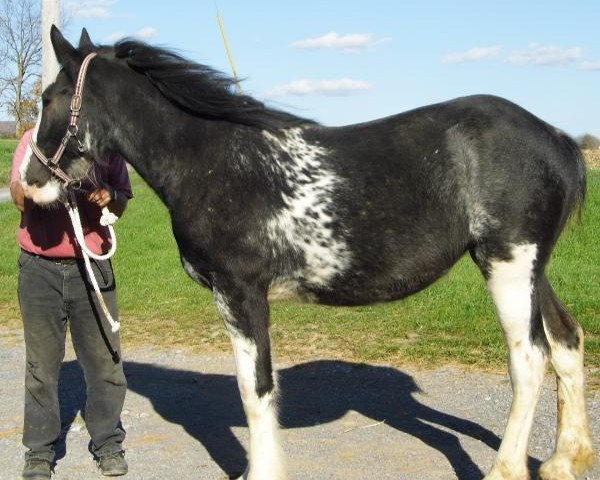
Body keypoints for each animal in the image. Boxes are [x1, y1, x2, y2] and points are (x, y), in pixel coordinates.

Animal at [21, 27, 592, 480]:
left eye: (50, 98)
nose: (29, 183)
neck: (212, 161)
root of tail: (557, 139)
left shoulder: (240, 294)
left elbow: (255, 389)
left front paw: (261, 473)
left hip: (508, 266)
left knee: (529, 360)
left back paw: (506, 469)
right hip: (531, 268)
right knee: (566, 339)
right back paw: (566, 460)